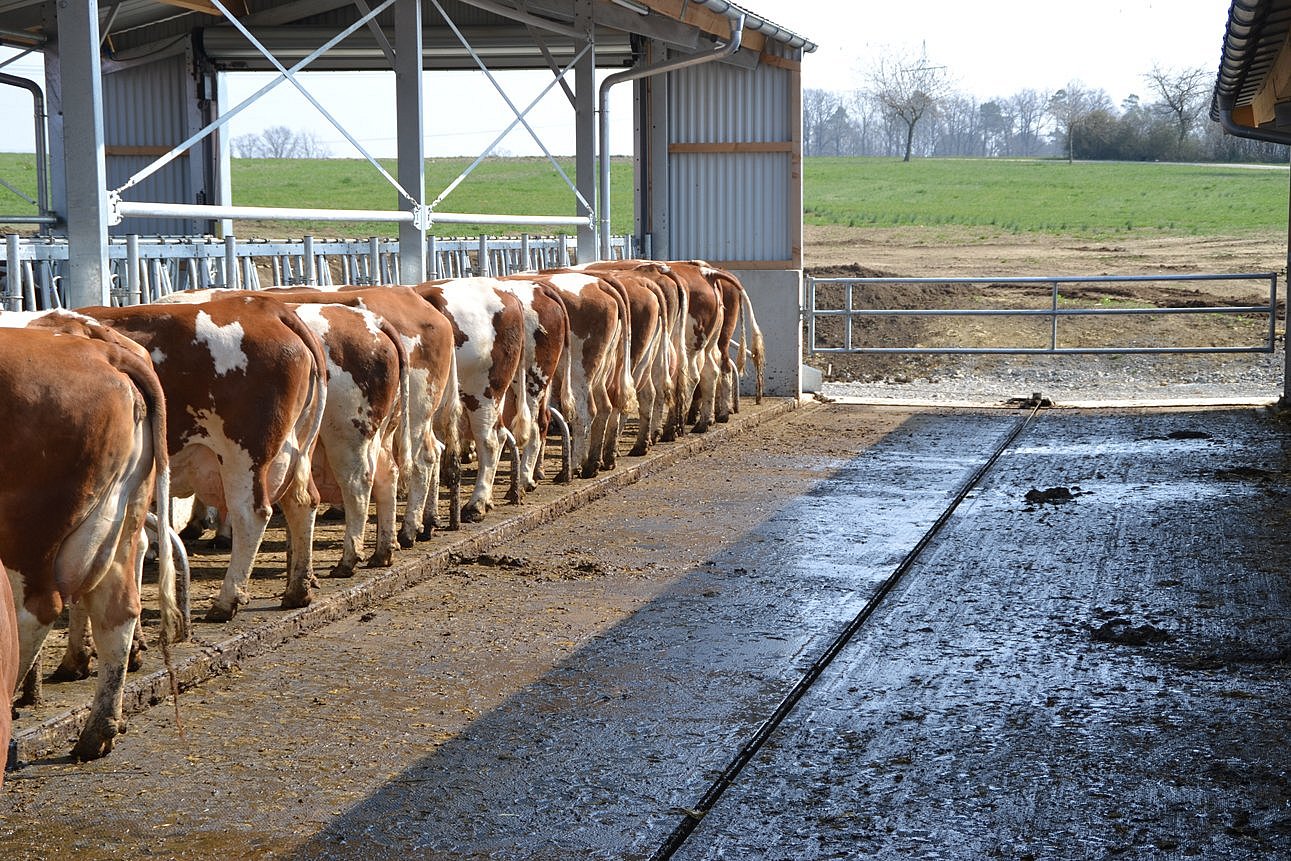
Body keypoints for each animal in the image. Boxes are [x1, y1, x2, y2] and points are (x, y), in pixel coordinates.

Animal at [0, 326, 179, 759]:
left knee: (34, 613)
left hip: (29, 532)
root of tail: (104, 354)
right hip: (124, 519)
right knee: (119, 612)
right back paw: (99, 732)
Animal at [85, 294, 327, 619]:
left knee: (251, 514)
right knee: (302, 501)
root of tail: (268, 307)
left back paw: (226, 601)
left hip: (245, 454)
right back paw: (297, 590)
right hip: (297, 448)